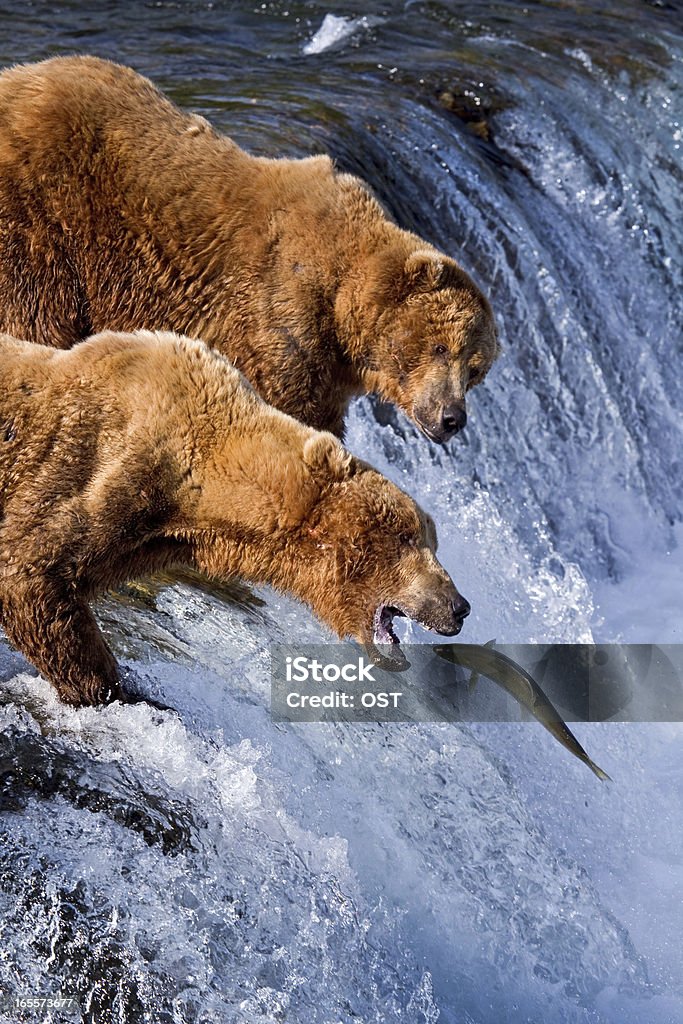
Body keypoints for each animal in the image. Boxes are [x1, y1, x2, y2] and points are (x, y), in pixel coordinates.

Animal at [0, 52, 499, 444]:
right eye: (440, 346)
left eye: (475, 369)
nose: (452, 418)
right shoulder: (278, 312)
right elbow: (286, 405)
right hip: (44, 221)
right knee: (37, 313)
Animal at [0, 331, 471, 708]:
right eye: (409, 537)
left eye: (431, 540)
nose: (460, 606)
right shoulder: (109, 467)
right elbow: (30, 573)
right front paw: (122, 692)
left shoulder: (144, 541)